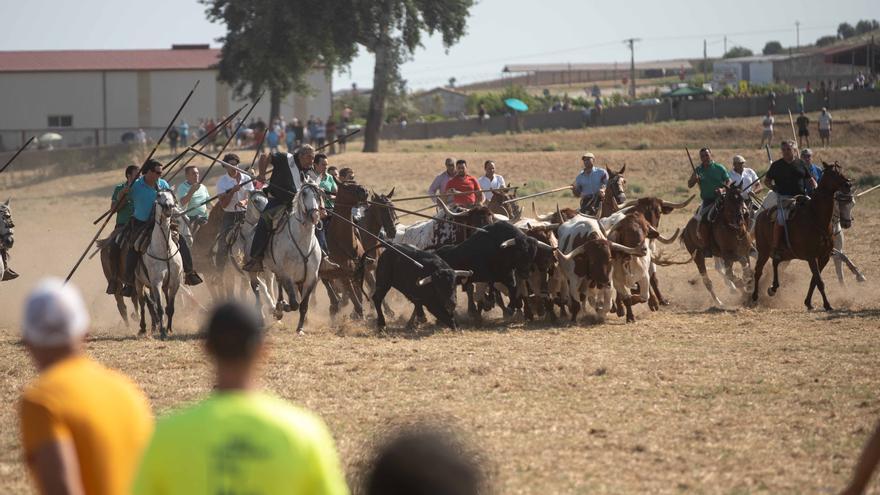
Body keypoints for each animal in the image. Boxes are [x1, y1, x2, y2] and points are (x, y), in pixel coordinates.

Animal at [133, 190, 181, 340]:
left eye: (172, 195)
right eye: (159, 195)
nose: (168, 207)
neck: (164, 250)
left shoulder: (175, 282)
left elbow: (170, 308)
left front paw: (169, 329)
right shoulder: (156, 283)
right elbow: (159, 308)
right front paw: (163, 332)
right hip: (139, 283)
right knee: (143, 304)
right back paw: (143, 328)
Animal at [260, 181, 324, 334]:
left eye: (317, 194)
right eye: (304, 194)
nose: (314, 216)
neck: (303, 242)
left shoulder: (311, 278)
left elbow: (303, 305)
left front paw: (300, 328)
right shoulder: (287, 274)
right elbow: (294, 303)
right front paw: (283, 307)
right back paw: (278, 308)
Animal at [748, 162, 852, 310]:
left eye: (841, 171)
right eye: (833, 173)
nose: (848, 184)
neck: (816, 217)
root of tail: (761, 215)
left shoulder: (824, 256)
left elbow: (814, 280)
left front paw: (808, 302)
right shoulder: (811, 257)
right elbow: (819, 281)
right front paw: (827, 305)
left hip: (783, 254)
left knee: (775, 263)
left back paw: (773, 288)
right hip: (763, 251)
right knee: (758, 271)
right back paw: (755, 296)